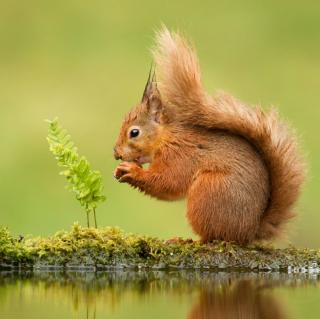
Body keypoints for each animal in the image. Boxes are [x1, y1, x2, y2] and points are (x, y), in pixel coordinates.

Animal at [113, 28, 304, 245]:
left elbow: (167, 181)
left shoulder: (180, 155)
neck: (166, 137)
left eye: (134, 132)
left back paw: (187, 240)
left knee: (212, 237)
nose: (116, 153)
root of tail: (248, 233)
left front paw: (132, 171)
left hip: (209, 191)